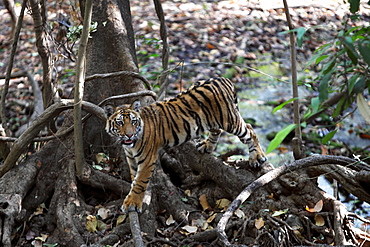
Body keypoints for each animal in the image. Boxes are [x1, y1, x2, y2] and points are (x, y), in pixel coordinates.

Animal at [105, 77, 268, 212]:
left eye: (133, 122)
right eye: (120, 123)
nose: (129, 134)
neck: (130, 145)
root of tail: (223, 79)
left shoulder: (147, 159)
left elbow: (140, 181)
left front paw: (133, 203)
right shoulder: (131, 157)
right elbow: (134, 176)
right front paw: (131, 195)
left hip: (230, 120)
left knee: (249, 129)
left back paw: (257, 157)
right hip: (211, 120)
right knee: (217, 130)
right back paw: (206, 146)